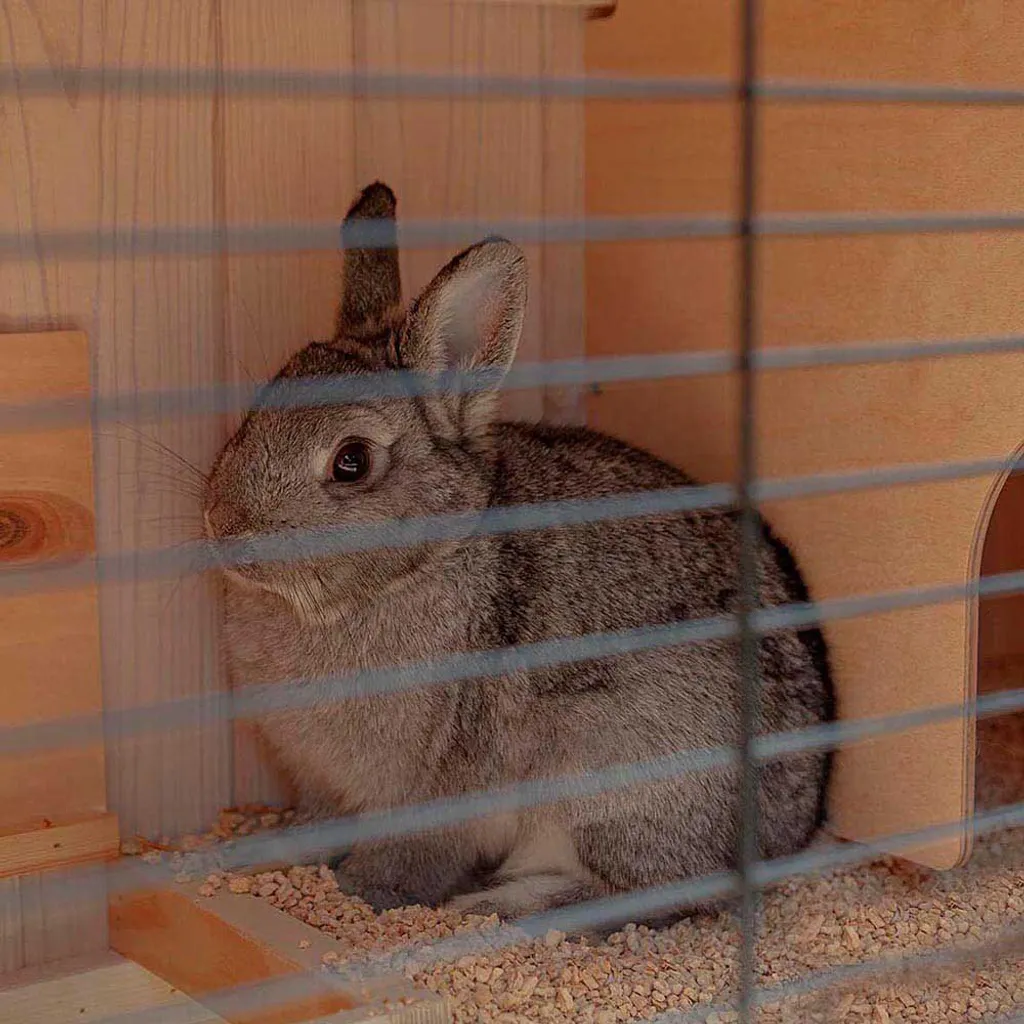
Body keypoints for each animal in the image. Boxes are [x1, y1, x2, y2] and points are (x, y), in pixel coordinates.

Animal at [204, 180, 835, 928]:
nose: (223, 525)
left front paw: (360, 897)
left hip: (611, 776)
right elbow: (317, 824)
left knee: (657, 893)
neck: (421, 562)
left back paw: (504, 904)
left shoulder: (434, 795)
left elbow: (408, 861)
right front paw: (254, 853)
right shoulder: (328, 788)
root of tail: (793, 829)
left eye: (351, 462)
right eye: (255, 412)